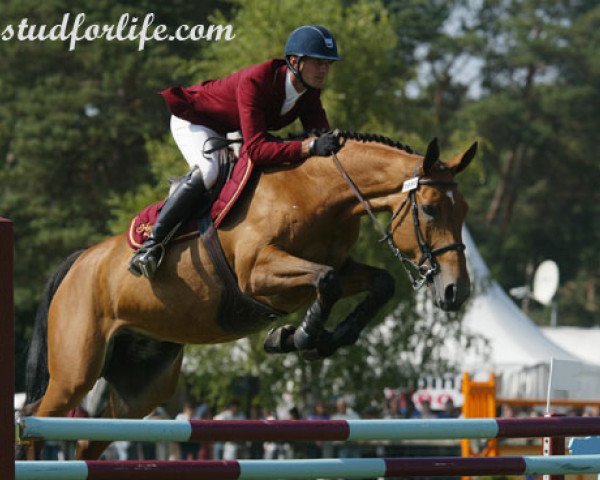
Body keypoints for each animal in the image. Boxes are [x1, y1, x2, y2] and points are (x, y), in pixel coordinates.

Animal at [21, 129, 476, 460]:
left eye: (465, 211)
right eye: (431, 209)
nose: (456, 292)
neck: (315, 191)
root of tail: (80, 260)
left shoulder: (340, 268)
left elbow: (378, 283)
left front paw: (310, 339)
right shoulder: (258, 274)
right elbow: (326, 281)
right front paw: (300, 337)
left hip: (144, 386)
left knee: (88, 441)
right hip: (75, 372)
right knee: (33, 422)